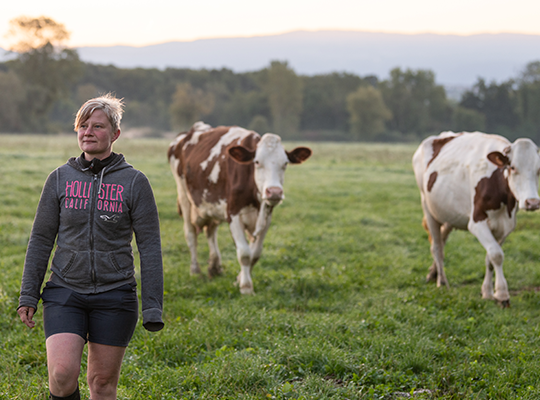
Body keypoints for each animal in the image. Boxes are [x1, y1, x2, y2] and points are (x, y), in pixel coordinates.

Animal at [169, 121, 312, 294]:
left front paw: (239, 279)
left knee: (211, 232)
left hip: (212, 205)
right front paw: (246, 287)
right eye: (257, 162)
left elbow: (255, 254)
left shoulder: (266, 217)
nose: (274, 192)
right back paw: (195, 271)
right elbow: (244, 253)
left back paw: (214, 267)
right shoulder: (233, 214)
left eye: (285, 163)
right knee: (190, 235)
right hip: (184, 196)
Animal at [414, 131, 540, 306]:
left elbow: (490, 258)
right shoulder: (477, 223)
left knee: (441, 239)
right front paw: (502, 294)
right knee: (437, 247)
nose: (532, 202)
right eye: (513, 167)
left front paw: (487, 292)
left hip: (448, 213)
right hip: (428, 208)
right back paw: (442, 282)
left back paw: (433, 274)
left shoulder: (506, 226)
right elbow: (496, 254)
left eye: (538, 170)